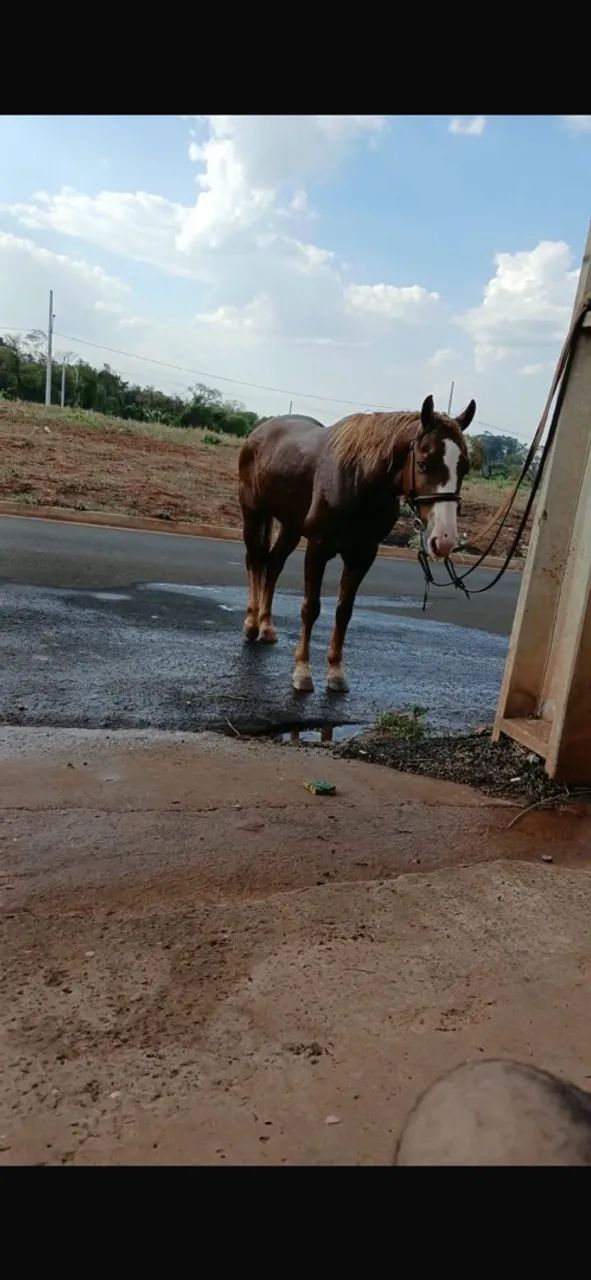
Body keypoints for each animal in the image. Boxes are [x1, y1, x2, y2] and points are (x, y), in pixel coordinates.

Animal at [237, 394, 475, 693]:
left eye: (464, 467)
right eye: (423, 463)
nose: (444, 540)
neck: (358, 479)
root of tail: (259, 432)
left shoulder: (363, 555)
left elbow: (344, 611)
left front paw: (336, 672)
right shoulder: (318, 547)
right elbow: (310, 608)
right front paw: (303, 671)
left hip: (291, 527)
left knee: (274, 564)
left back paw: (267, 626)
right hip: (253, 513)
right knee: (255, 561)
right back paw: (251, 623)